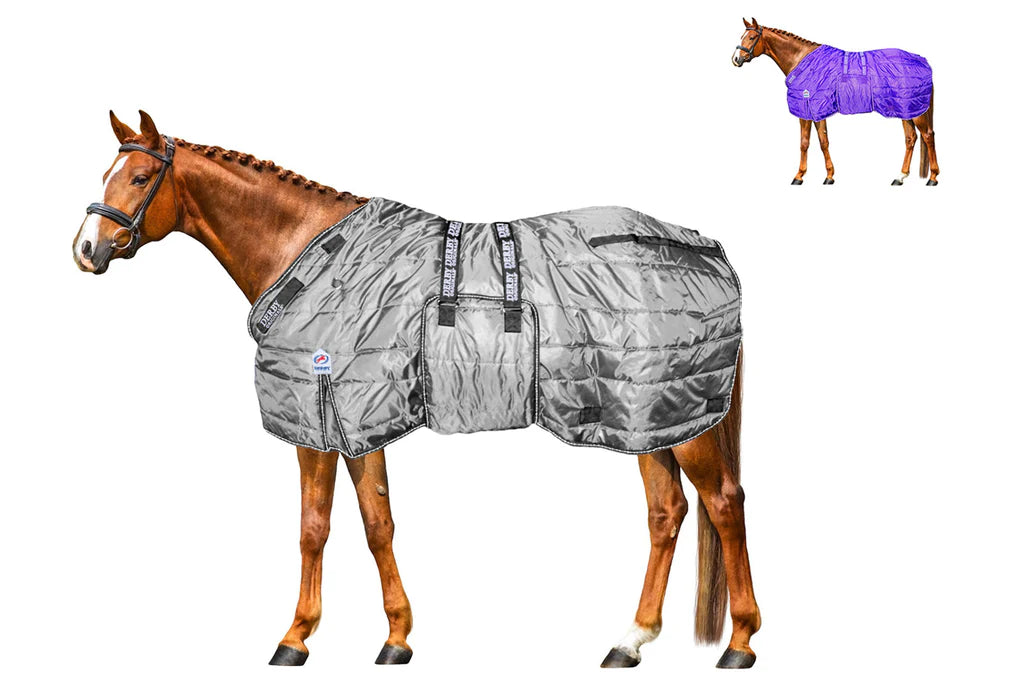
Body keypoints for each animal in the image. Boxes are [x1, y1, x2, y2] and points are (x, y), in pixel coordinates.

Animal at [71, 110, 761, 670]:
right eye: (106, 172)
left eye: (139, 178)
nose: (86, 249)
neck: (309, 257)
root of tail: (710, 253)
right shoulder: (346, 423)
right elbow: (359, 523)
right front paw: (376, 637)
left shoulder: (329, 419)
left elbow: (331, 527)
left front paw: (315, 638)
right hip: (643, 419)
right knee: (667, 513)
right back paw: (630, 640)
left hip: (680, 422)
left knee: (724, 504)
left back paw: (739, 643)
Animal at [732, 17, 939, 186]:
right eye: (742, 36)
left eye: (751, 37)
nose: (736, 59)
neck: (801, 60)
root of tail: (924, 62)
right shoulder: (816, 112)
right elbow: (822, 141)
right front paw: (829, 176)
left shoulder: (808, 110)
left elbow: (806, 143)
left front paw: (800, 176)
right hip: (906, 110)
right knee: (911, 139)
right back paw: (900, 177)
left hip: (915, 111)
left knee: (928, 136)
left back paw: (933, 178)